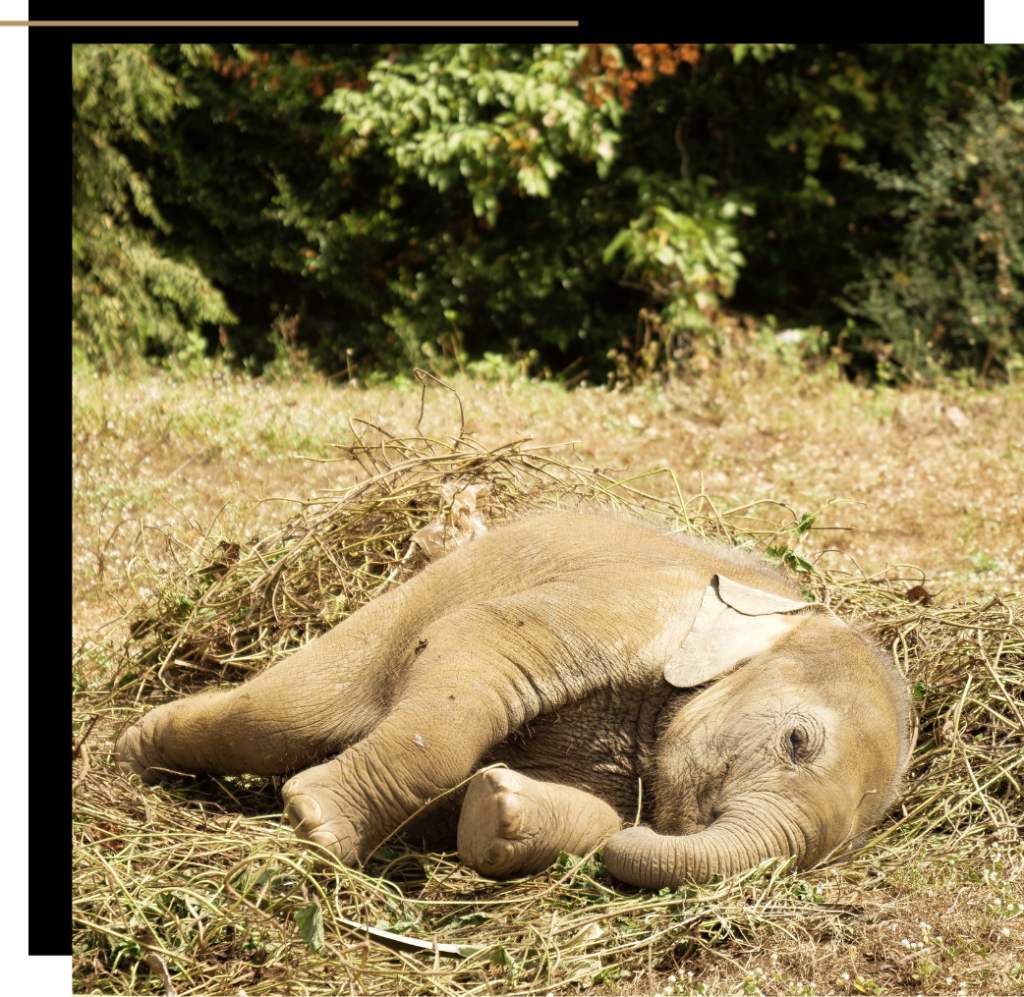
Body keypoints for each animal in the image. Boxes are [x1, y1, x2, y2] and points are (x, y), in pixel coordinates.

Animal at [116, 515, 909, 888]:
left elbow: (596, 817)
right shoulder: (623, 603)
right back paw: (133, 753)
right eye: (797, 741)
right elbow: (475, 643)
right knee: (283, 715)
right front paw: (316, 822)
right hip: (399, 610)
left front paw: (497, 810)